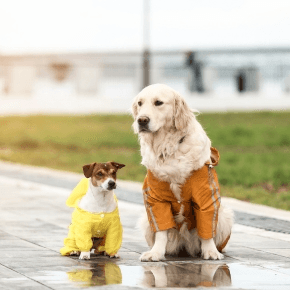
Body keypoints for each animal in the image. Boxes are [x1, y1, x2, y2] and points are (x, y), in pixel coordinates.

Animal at [131, 83, 233, 260]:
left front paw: (210, 251)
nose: (142, 120)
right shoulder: (155, 199)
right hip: (146, 221)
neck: (169, 148)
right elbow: (161, 230)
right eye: (140, 103)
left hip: (224, 216)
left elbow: (207, 229)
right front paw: (156, 253)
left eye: (158, 103)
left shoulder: (206, 198)